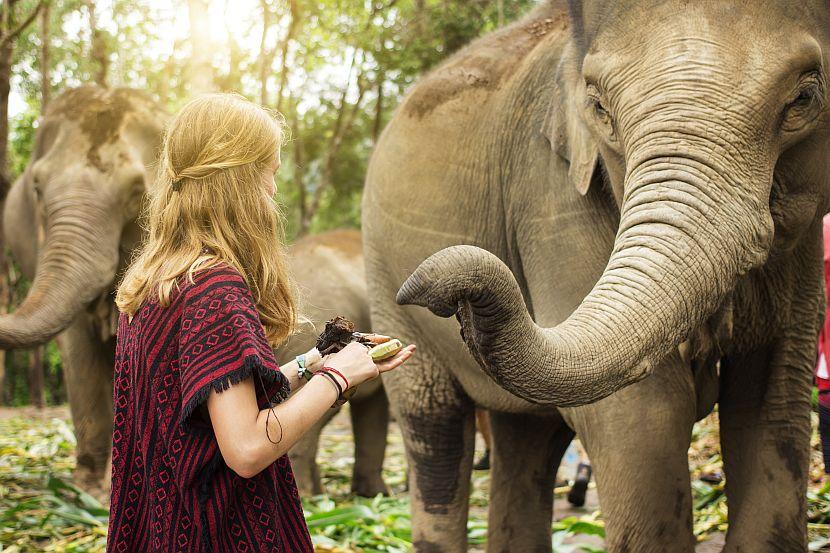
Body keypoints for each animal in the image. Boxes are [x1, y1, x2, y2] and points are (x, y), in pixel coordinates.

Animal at [364, 2, 830, 548]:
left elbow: (772, 405)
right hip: (383, 280)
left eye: (805, 96)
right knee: (434, 432)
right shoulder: (549, 193)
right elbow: (644, 415)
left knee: (527, 438)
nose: (428, 291)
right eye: (600, 108)